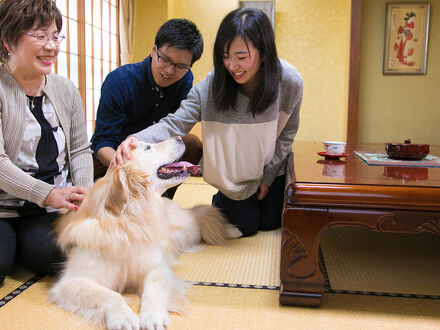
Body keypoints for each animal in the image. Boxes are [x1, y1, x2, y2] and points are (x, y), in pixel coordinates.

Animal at [50, 135, 242, 328]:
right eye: (147, 148)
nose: (179, 137)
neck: (129, 221)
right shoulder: (73, 281)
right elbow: (110, 295)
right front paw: (123, 317)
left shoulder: (155, 267)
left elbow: (153, 289)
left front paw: (153, 316)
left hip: (185, 227)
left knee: (200, 216)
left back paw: (232, 230)